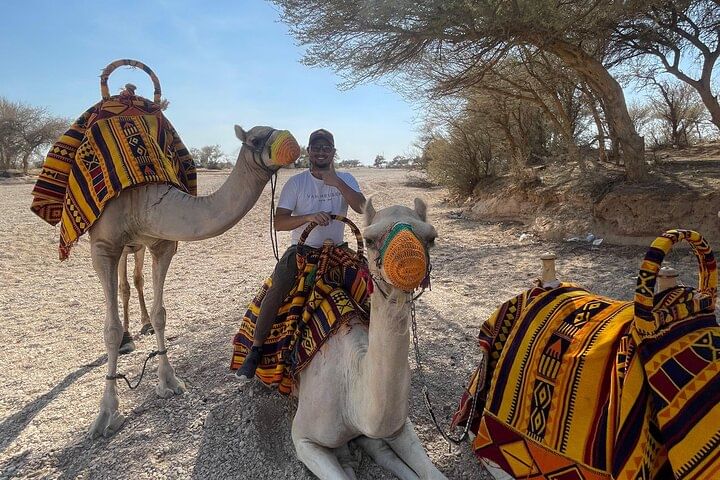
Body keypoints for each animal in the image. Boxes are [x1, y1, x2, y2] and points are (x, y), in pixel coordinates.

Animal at [88, 125, 298, 438]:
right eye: (254, 139)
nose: (292, 143)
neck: (142, 200)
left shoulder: (162, 242)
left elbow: (161, 313)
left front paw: (169, 382)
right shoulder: (104, 245)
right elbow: (110, 329)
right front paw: (106, 414)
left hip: (138, 246)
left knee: (136, 279)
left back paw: (143, 325)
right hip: (115, 246)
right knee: (123, 286)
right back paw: (127, 338)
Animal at [289, 197, 446, 479]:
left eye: (432, 238)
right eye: (370, 239)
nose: (408, 262)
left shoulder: (398, 425)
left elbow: (432, 473)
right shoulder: (303, 438)